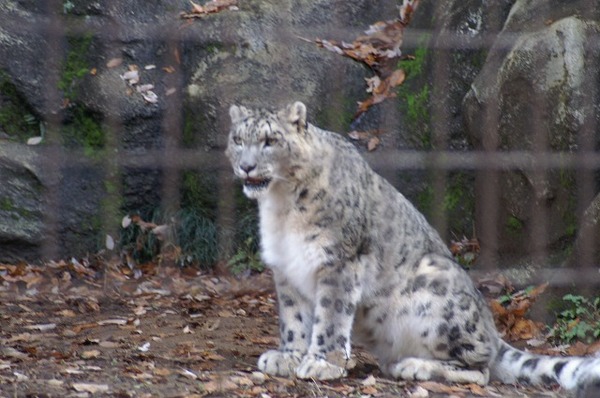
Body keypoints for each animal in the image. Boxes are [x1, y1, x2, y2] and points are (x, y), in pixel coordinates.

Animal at [225, 102, 600, 394]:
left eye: (270, 140)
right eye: (238, 139)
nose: (246, 166)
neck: (281, 206)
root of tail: (492, 329)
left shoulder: (339, 261)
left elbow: (330, 314)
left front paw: (321, 362)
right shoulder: (286, 268)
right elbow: (294, 317)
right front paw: (287, 356)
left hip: (434, 292)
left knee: (480, 368)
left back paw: (413, 366)